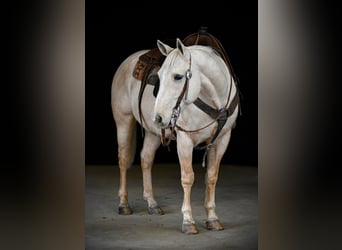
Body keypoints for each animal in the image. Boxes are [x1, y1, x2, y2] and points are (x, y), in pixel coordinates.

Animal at [111, 31, 239, 234]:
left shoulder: (222, 140)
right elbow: (187, 178)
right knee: (123, 160)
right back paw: (124, 204)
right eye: (158, 76)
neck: (214, 101)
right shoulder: (185, 140)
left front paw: (212, 218)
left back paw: (152, 204)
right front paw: (188, 221)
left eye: (178, 77)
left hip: (154, 133)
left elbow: (211, 177)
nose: (158, 117)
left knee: (146, 159)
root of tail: (128, 61)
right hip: (124, 121)